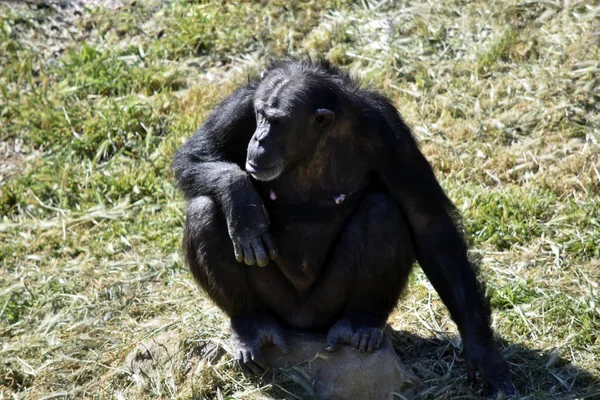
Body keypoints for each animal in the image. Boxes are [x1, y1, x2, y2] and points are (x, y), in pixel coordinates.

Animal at [173, 57, 516, 396]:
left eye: (278, 122)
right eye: (260, 116)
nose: (258, 138)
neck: (313, 142)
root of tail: (303, 328)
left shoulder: (389, 133)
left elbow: (428, 224)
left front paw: (482, 352)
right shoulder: (242, 103)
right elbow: (196, 154)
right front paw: (242, 202)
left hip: (328, 306)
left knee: (383, 211)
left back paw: (359, 325)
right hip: (278, 305)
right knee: (205, 208)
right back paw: (252, 324)